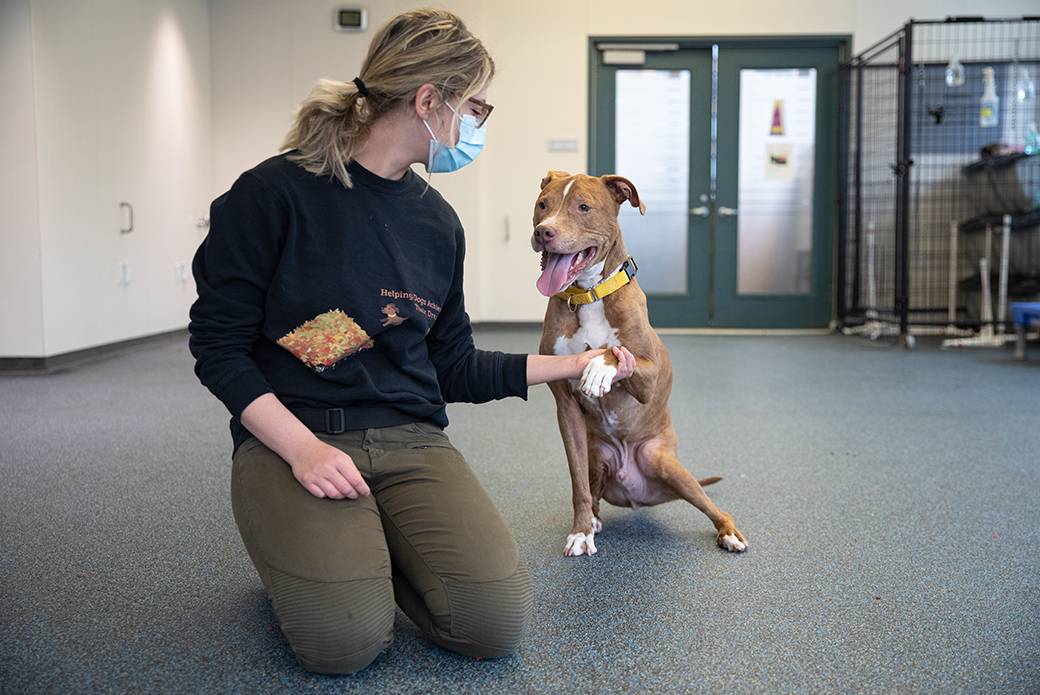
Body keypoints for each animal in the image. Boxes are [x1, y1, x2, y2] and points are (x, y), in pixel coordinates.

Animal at [532, 170, 744, 557]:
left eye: (583, 207)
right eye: (543, 205)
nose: (544, 232)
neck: (589, 295)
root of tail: (637, 495)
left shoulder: (649, 374)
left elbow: (613, 353)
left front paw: (598, 369)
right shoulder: (565, 408)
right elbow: (578, 485)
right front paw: (581, 532)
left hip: (663, 463)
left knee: (714, 506)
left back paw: (730, 533)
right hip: (597, 455)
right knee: (594, 490)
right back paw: (595, 520)